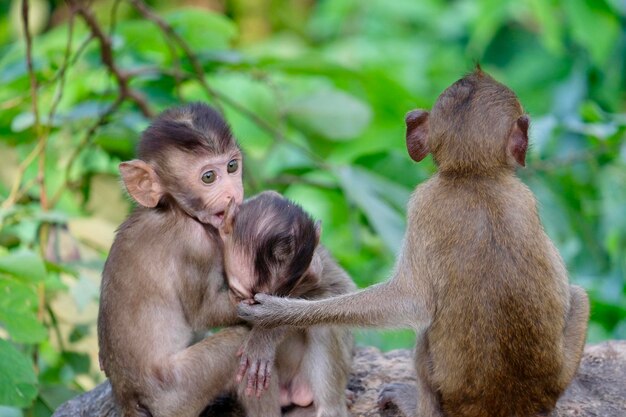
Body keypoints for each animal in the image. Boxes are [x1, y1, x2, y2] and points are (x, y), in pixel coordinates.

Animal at [98, 103, 288, 416]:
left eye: (232, 167)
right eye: (208, 177)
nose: (233, 194)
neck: (173, 209)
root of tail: (129, 398)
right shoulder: (195, 245)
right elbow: (205, 313)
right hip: (179, 392)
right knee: (236, 346)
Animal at [219, 191, 356, 416]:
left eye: (284, 296)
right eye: (241, 296)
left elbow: (341, 291)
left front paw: (265, 334)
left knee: (324, 326)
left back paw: (330, 408)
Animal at [236, 70, 588, 416]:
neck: (473, 176)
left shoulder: (423, 201)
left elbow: (412, 300)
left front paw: (275, 318)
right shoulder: (518, 198)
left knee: (577, 296)